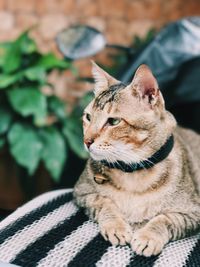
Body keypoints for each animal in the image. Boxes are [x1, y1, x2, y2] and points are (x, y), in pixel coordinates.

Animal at [73, 62, 200, 258]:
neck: (132, 172)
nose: (87, 141)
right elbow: (104, 202)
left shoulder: (192, 212)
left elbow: (165, 218)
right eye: (88, 117)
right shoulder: (82, 193)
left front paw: (148, 237)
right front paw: (116, 226)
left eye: (114, 121)